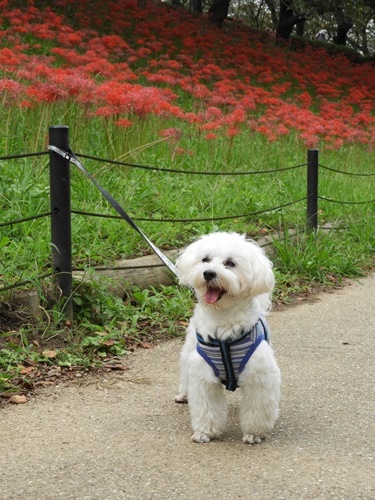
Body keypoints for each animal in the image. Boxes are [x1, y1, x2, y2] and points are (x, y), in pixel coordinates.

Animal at [175, 232, 280, 444]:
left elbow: (256, 408)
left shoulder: (260, 375)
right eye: (205, 259)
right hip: (189, 350)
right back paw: (184, 393)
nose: (208, 273)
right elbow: (206, 407)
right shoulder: (203, 376)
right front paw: (205, 432)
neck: (223, 326)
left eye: (230, 263)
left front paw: (254, 433)